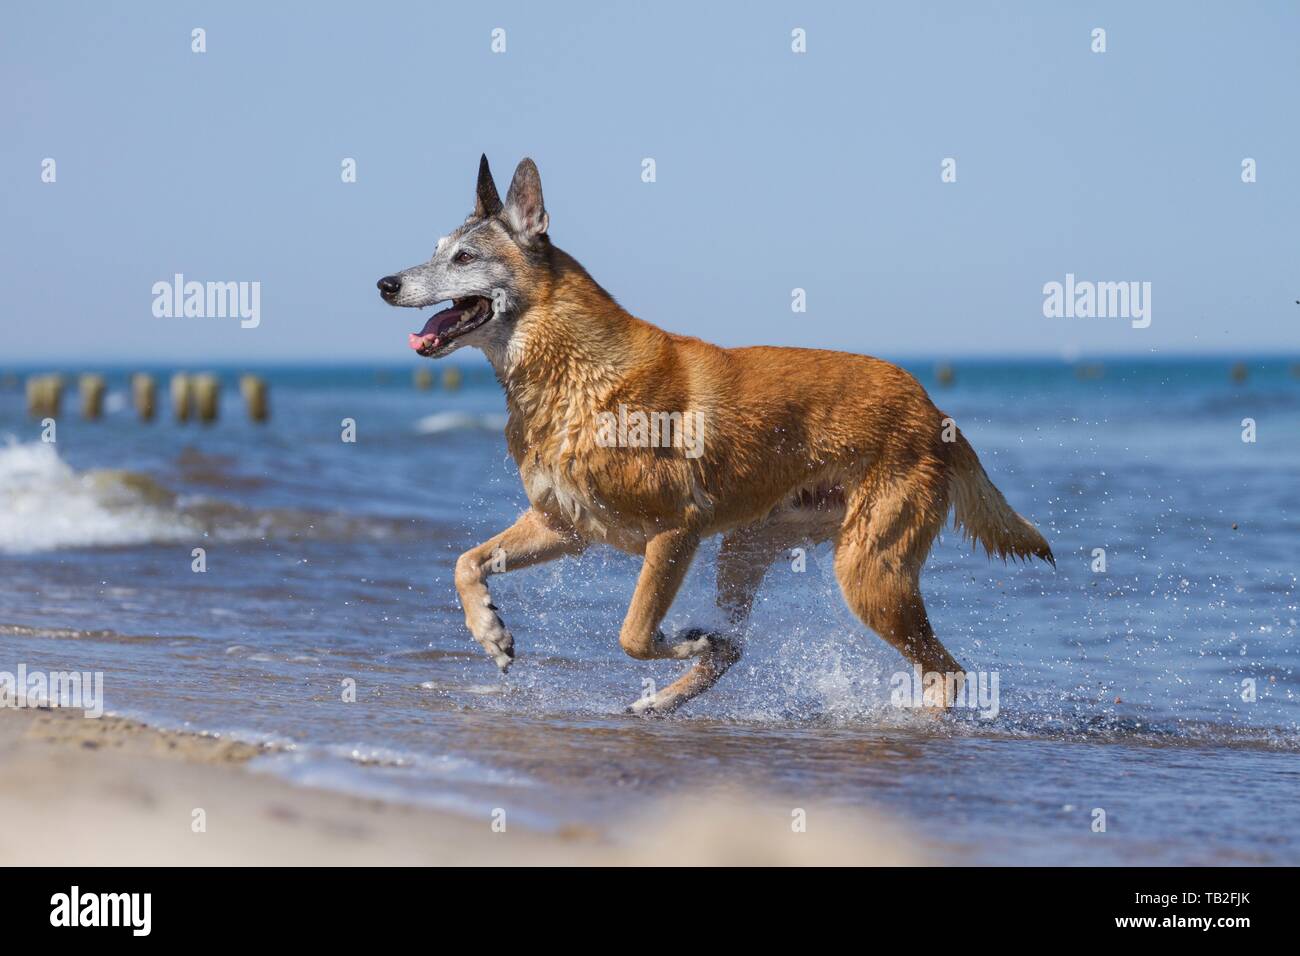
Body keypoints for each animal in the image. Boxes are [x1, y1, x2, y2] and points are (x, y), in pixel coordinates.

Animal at [379, 157, 1055, 712]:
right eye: (436, 249)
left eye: (464, 259)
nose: (385, 284)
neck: (571, 371)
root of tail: (934, 409)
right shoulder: (563, 526)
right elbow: (466, 562)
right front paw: (490, 631)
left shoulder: (676, 530)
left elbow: (633, 633)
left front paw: (679, 640)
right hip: (750, 546)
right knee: (735, 647)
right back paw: (667, 696)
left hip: (869, 573)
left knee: (947, 672)